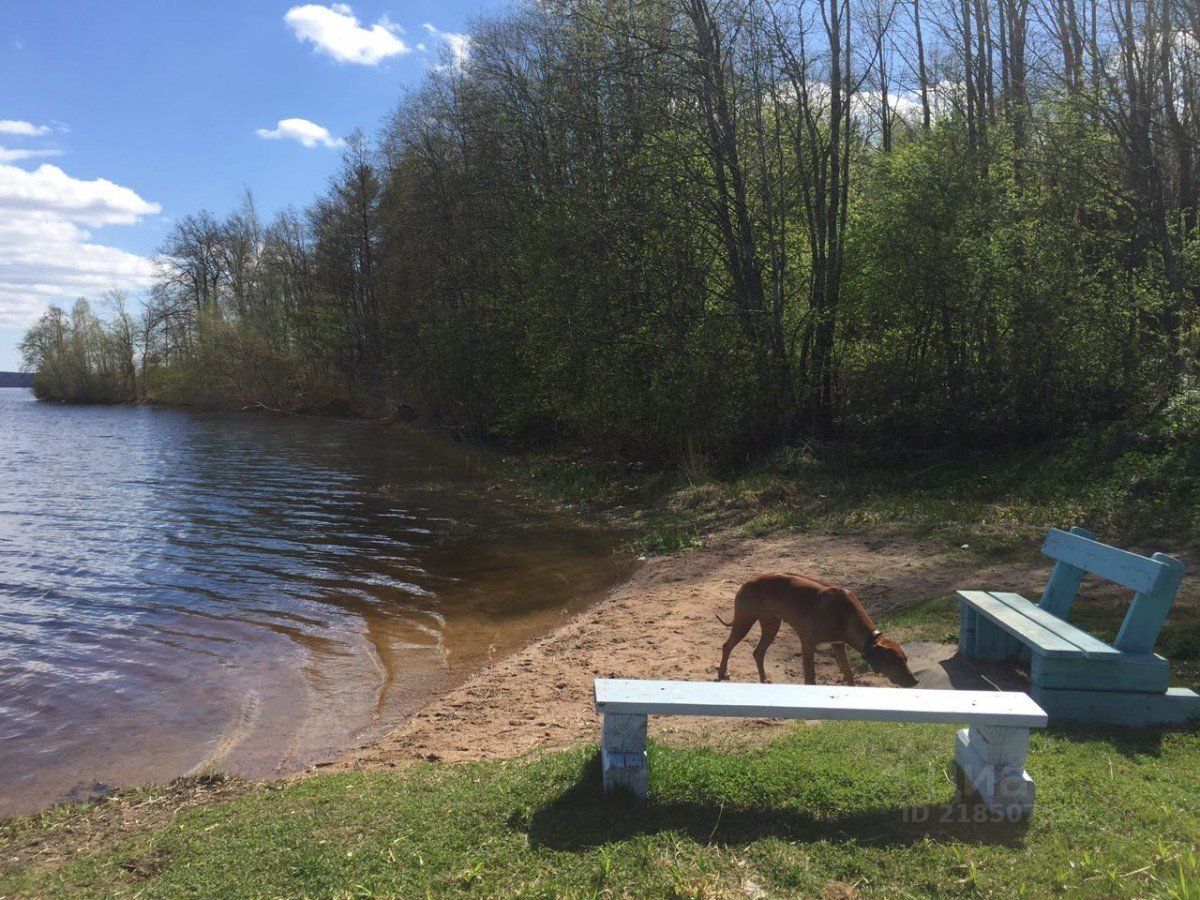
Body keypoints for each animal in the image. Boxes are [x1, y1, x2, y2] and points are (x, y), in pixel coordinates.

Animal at [710, 573, 916, 686]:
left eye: (905, 659)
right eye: (896, 662)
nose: (915, 682)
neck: (846, 613)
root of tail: (749, 581)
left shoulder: (837, 644)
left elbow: (848, 672)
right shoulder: (807, 644)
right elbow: (811, 678)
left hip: (771, 625)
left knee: (757, 652)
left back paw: (763, 679)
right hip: (744, 621)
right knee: (727, 645)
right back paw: (722, 673)